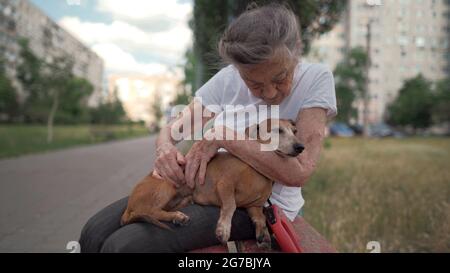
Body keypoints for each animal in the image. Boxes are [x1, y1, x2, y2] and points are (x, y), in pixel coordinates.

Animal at [120, 118, 306, 245]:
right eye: (278, 130)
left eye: (295, 131)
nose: (300, 147)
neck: (256, 171)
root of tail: (128, 208)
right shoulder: (225, 185)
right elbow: (230, 205)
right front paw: (223, 229)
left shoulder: (254, 206)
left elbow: (260, 217)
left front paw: (263, 233)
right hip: (168, 185)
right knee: (150, 211)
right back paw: (177, 217)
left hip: (181, 200)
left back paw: (176, 216)